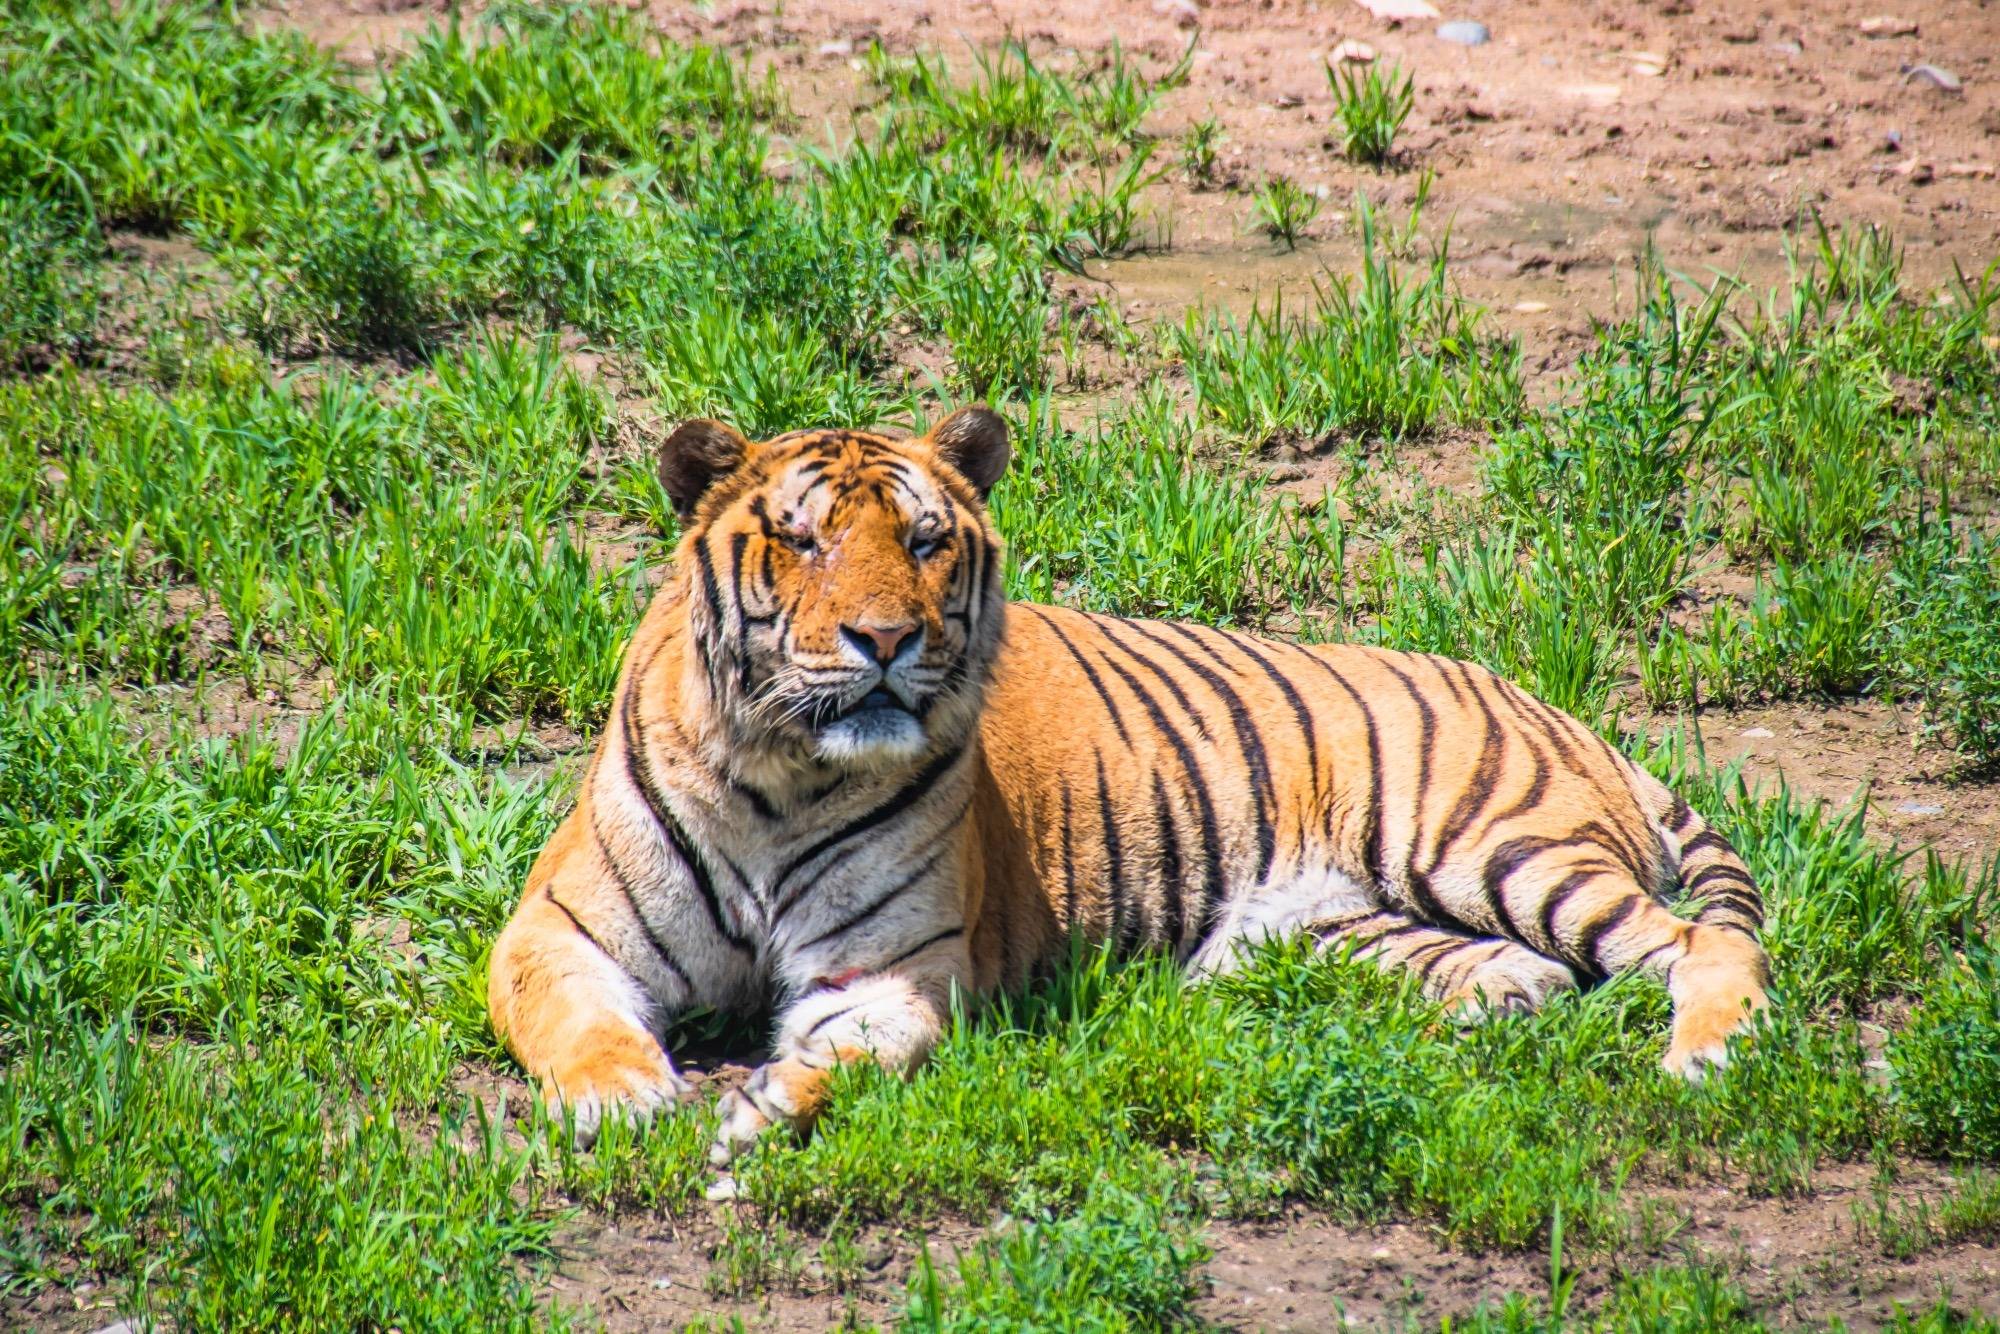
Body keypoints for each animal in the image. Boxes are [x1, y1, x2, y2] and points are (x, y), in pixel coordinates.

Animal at [484, 408, 1768, 1168]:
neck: (788, 775)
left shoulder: (889, 970)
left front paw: (764, 1104)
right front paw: (623, 1097)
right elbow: (574, 1018)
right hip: (1344, 925)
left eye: (925, 540)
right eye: (801, 541)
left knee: (1694, 941)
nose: (884, 638)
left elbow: (857, 1051)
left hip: (1486, 841)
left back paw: (1707, 1053)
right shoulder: (553, 929)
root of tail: (1556, 706)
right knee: (1534, 971)